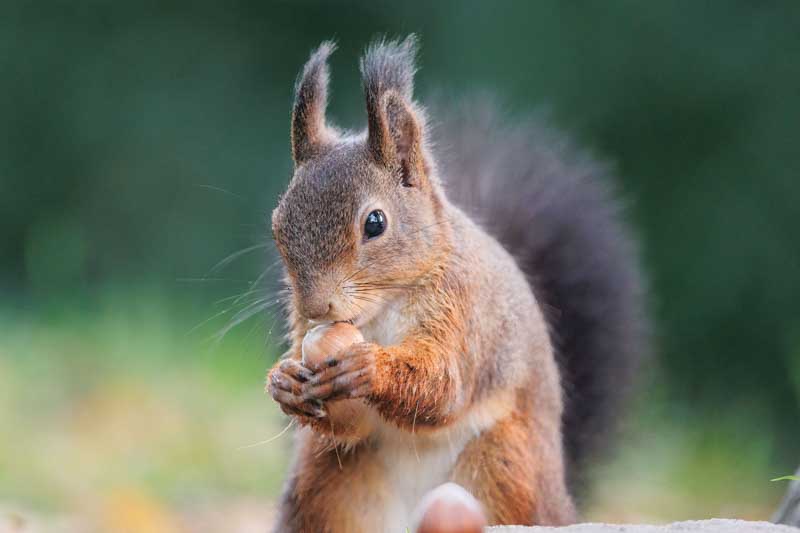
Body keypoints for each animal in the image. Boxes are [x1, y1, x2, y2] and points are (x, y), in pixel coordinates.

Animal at [266, 36, 646, 533]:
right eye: (277, 226)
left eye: (375, 223)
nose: (315, 307)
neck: (383, 308)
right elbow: (350, 423)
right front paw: (285, 381)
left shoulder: (464, 313)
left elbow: (444, 384)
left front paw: (369, 367)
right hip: (328, 482)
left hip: (504, 461)